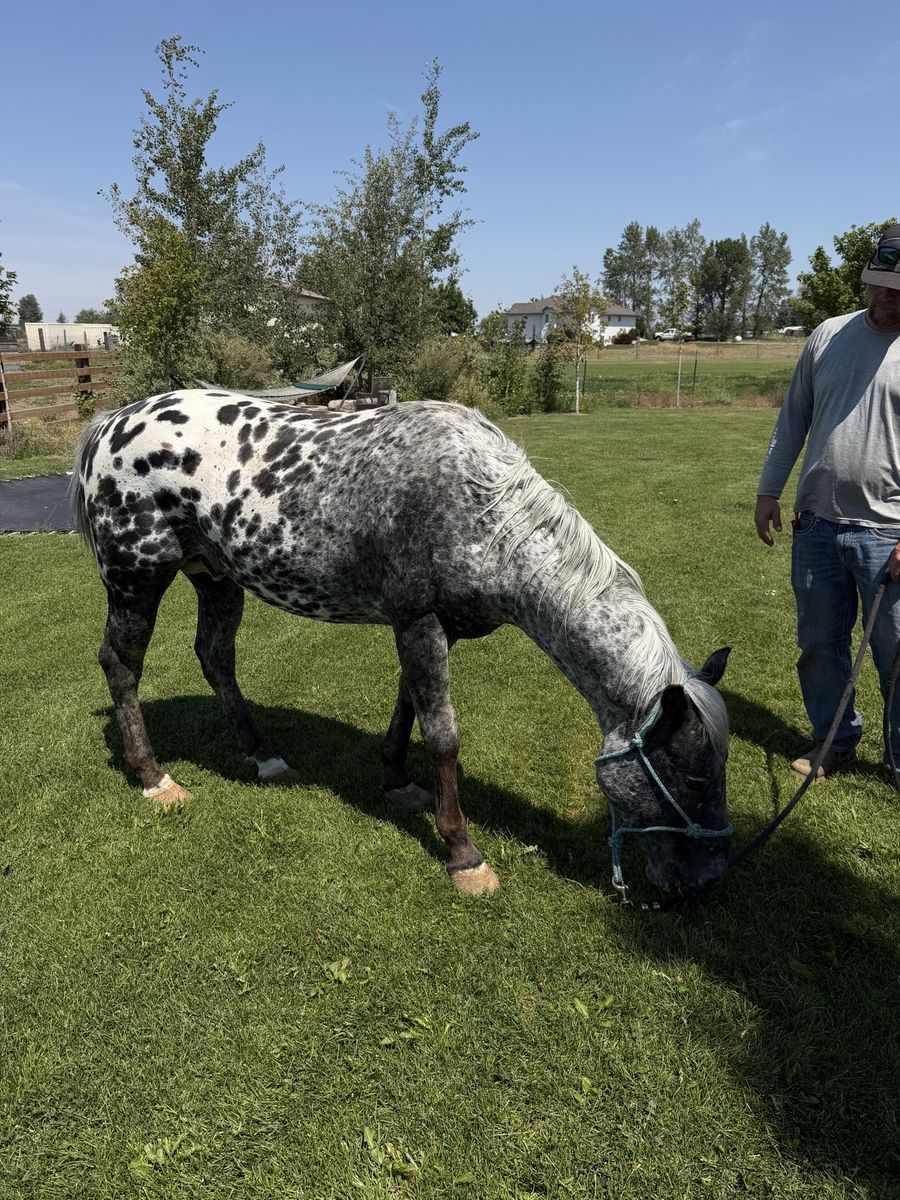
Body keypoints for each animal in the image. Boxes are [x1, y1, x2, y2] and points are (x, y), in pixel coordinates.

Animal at [71, 389, 731, 899]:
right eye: (695, 781)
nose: (707, 880)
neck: (478, 507)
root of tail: (112, 423)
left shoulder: (430, 630)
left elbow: (408, 706)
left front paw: (396, 779)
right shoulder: (420, 623)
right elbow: (442, 735)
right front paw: (464, 853)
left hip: (216, 578)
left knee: (215, 659)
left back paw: (263, 757)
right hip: (137, 581)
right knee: (120, 667)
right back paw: (154, 777)